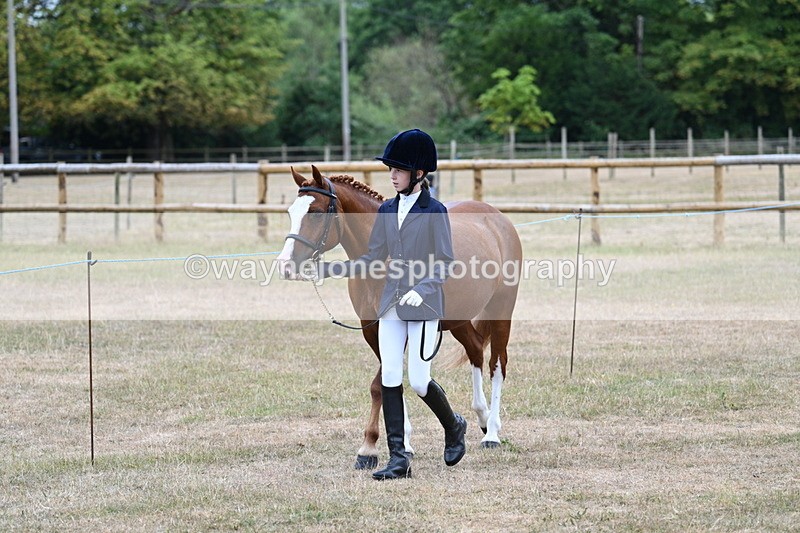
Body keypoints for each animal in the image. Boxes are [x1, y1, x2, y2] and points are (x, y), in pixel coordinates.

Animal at [277, 165, 522, 469]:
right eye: (291, 212)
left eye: (316, 212)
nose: (286, 265)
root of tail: (497, 218)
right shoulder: (372, 330)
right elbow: (389, 382)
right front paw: (403, 444)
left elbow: (379, 386)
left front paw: (368, 449)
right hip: (459, 318)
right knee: (476, 350)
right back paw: (482, 418)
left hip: (502, 309)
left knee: (497, 364)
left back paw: (493, 434)